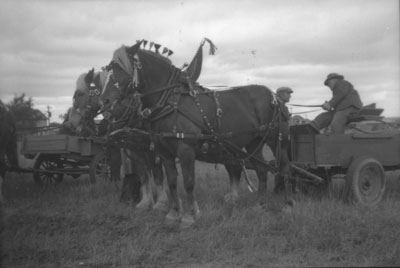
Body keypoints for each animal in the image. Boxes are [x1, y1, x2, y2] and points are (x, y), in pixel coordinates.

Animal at [70, 67, 167, 209]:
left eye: (80, 94)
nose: (72, 122)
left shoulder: (151, 148)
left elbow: (157, 173)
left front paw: (161, 201)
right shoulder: (136, 149)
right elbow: (144, 173)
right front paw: (145, 202)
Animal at [100, 42, 292, 228]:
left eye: (122, 68)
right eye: (109, 69)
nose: (104, 101)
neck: (171, 102)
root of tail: (275, 97)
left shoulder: (185, 149)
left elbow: (188, 182)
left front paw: (189, 217)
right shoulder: (164, 152)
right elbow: (171, 182)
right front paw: (172, 215)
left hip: (277, 140)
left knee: (284, 168)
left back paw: (287, 205)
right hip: (254, 142)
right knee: (261, 170)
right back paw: (260, 205)